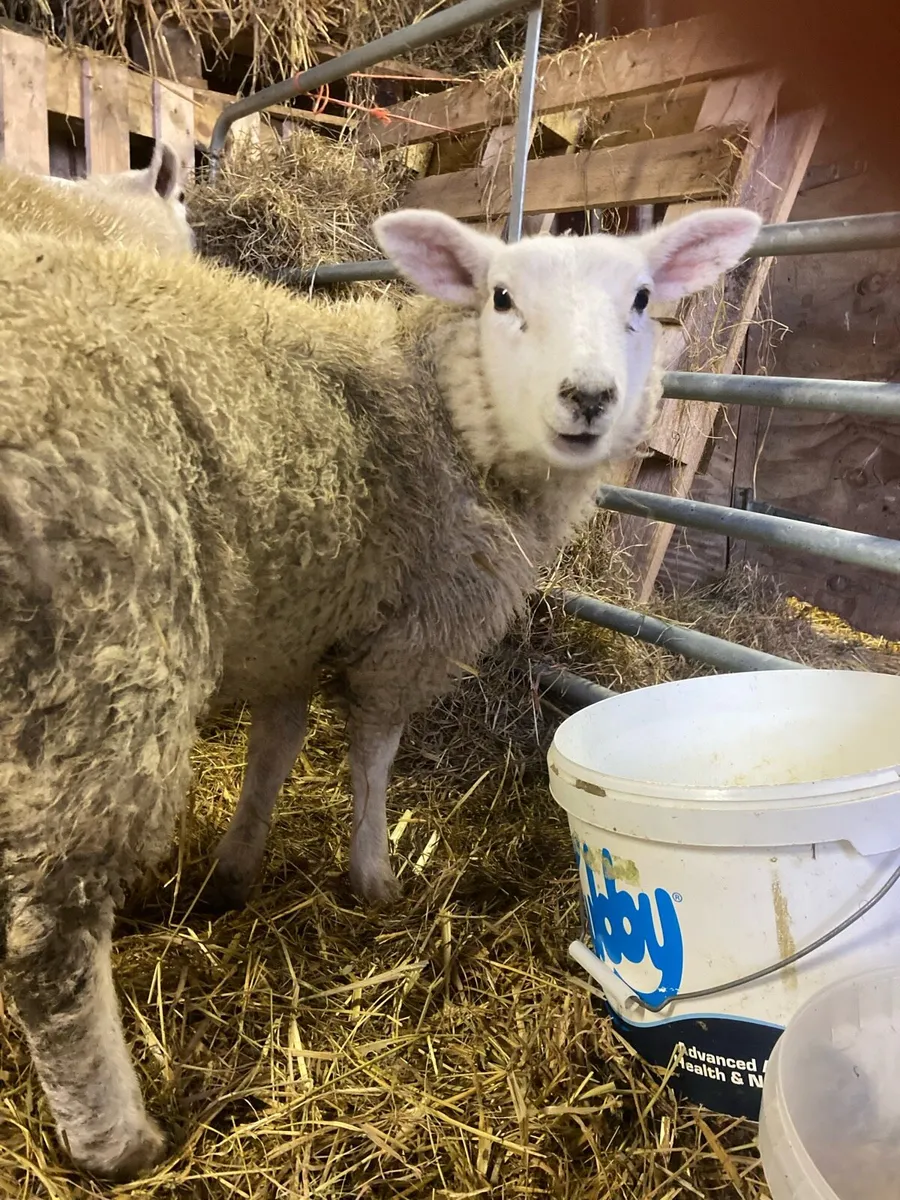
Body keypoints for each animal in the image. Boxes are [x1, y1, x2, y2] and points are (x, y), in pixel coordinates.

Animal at [0, 201, 761, 1180]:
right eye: (501, 296)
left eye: (639, 299)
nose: (587, 396)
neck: (442, 407)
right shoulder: (414, 626)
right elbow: (371, 748)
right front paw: (372, 875)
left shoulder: (292, 615)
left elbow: (276, 745)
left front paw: (235, 868)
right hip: (106, 649)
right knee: (50, 939)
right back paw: (117, 1139)